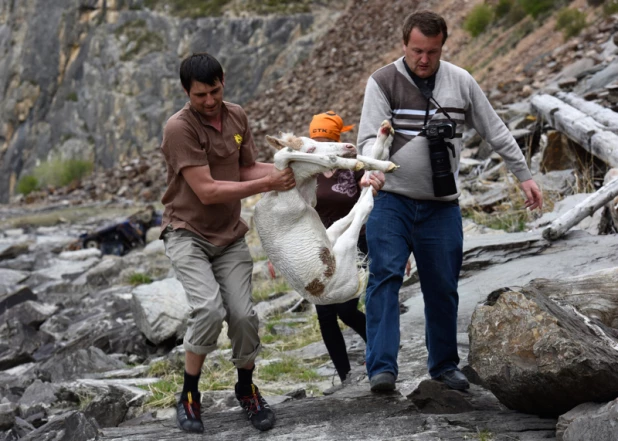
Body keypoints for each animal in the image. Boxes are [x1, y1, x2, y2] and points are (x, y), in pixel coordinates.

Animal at [254, 121, 394, 306]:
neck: (274, 198)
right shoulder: (292, 201)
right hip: (344, 248)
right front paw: (349, 163)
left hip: (331, 237)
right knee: (364, 207)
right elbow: (283, 156)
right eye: (311, 148)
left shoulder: (307, 198)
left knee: (355, 208)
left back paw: (383, 142)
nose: (349, 146)